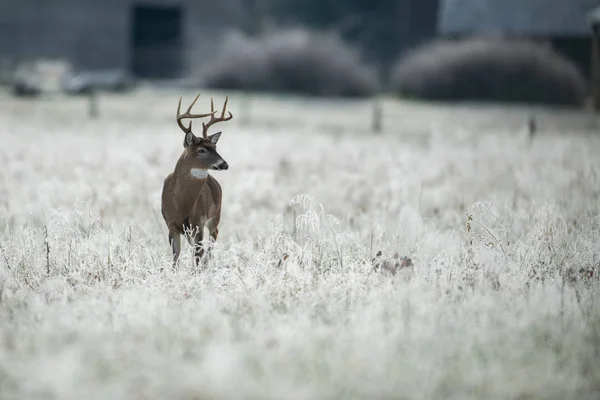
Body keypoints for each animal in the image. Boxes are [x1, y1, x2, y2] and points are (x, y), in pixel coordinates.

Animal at [161, 94, 233, 268]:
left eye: (215, 148)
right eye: (201, 150)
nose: (224, 164)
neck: (181, 204)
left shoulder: (198, 223)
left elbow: (198, 254)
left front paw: (197, 270)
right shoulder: (171, 224)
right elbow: (175, 257)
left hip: (215, 215)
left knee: (213, 235)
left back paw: (206, 264)